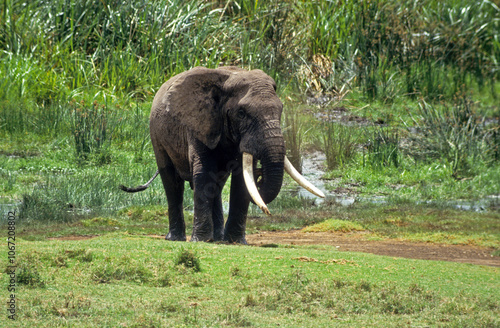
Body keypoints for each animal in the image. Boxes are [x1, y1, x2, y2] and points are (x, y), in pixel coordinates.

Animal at [121, 66, 324, 242]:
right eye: (241, 113)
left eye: (280, 110)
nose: (260, 177)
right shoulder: (198, 124)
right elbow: (203, 174)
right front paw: (200, 241)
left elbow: (241, 179)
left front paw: (235, 242)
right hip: (156, 134)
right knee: (172, 182)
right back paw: (177, 238)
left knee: (217, 185)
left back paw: (217, 238)